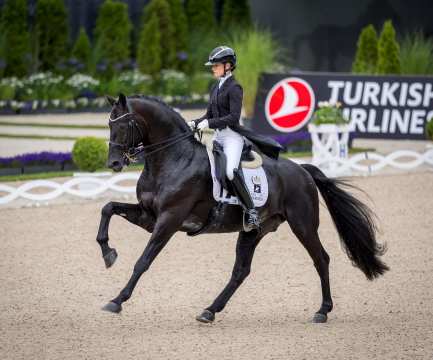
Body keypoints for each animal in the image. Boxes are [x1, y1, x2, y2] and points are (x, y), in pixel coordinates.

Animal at [96, 93, 386, 324]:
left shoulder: (169, 220)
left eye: (124, 125)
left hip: (302, 225)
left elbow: (143, 261)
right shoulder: (149, 217)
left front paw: (117, 300)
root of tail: (302, 170)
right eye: (109, 125)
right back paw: (209, 310)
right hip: (252, 231)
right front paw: (108, 253)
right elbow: (108, 208)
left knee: (321, 259)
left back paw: (322, 311)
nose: (114, 164)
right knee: (241, 271)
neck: (173, 159)